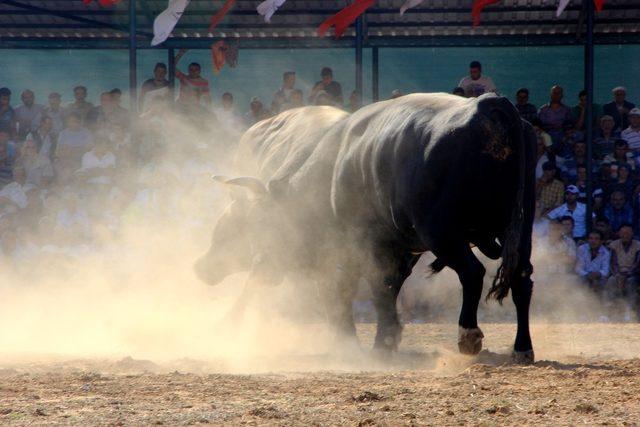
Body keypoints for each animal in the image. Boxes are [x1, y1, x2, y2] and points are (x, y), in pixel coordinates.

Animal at [198, 94, 536, 364]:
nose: (199, 268)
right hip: (520, 233)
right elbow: (379, 288)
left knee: (472, 272)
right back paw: (522, 348)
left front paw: (374, 342)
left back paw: (468, 335)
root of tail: (488, 105)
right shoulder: (395, 250)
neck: (333, 169)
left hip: (442, 233)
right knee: (521, 280)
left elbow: (368, 286)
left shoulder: (365, 244)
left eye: (262, 222)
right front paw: (380, 337)